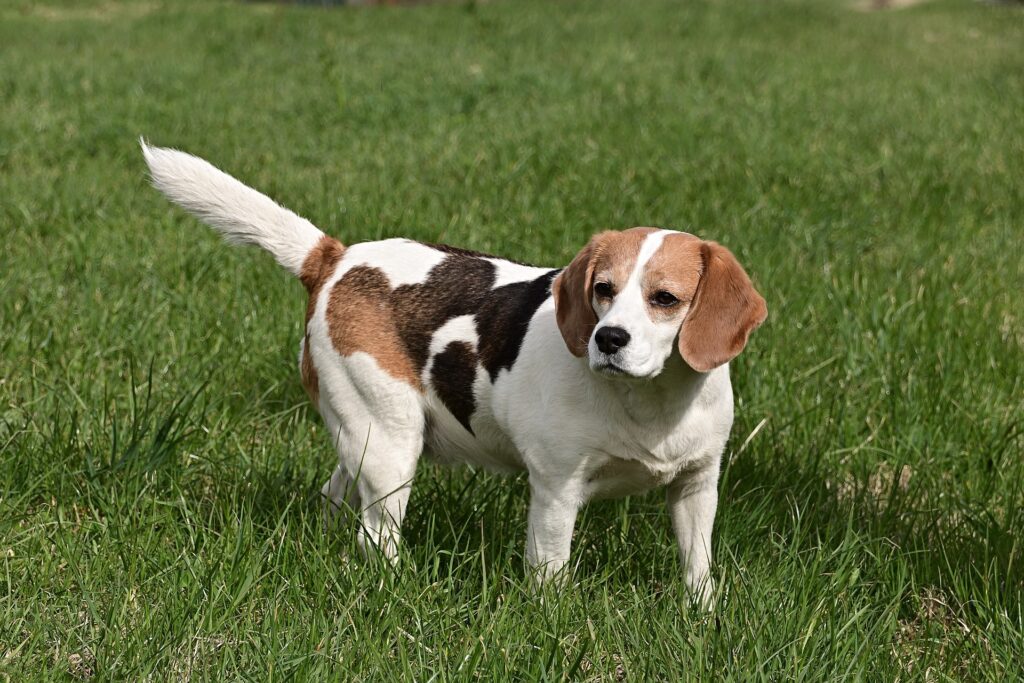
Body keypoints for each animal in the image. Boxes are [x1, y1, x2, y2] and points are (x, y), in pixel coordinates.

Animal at [146, 141, 770, 606]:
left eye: (665, 299)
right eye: (603, 290)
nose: (608, 339)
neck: (650, 401)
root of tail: (337, 258)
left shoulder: (697, 485)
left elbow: (697, 566)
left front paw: (701, 615)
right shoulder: (557, 490)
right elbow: (550, 572)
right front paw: (552, 621)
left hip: (361, 437)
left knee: (336, 497)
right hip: (391, 444)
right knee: (376, 537)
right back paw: (397, 588)